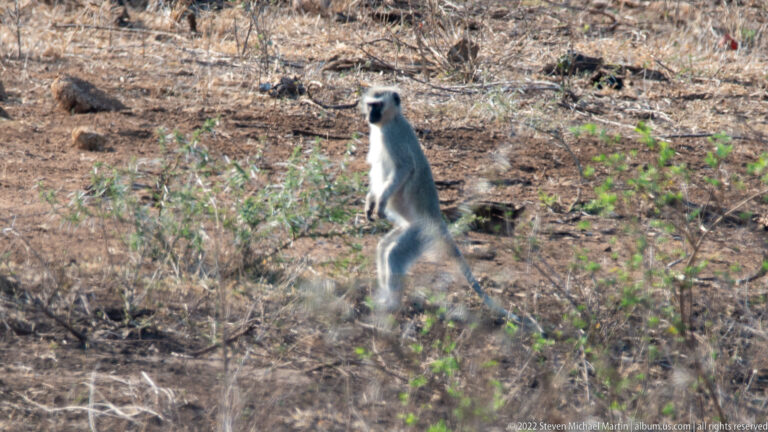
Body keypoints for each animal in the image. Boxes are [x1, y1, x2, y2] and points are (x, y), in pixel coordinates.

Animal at [361, 86, 542, 333]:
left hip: (421, 233)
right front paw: (370, 201)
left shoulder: (394, 137)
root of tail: (437, 220)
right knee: (384, 247)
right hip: (410, 229)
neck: (388, 123)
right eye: (370, 104)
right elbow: (375, 172)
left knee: (395, 253)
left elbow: (403, 169)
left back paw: (392, 304)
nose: (370, 116)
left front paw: (380, 203)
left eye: (378, 105)